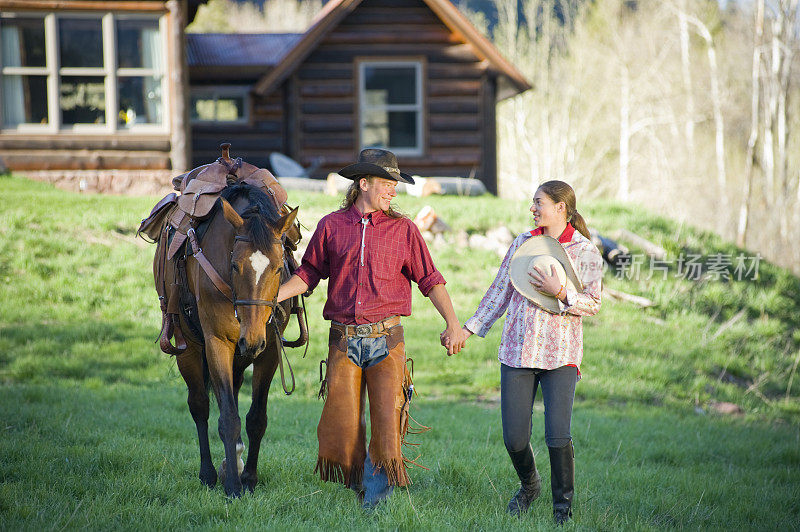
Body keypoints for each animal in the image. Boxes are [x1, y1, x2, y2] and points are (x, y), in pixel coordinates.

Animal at [173, 184, 300, 498]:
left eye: (278, 267)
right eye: (234, 264)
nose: (251, 339)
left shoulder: (269, 351)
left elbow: (256, 419)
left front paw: (249, 478)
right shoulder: (217, 343)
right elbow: (228, 418)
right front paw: (232, 485)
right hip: (189, 351)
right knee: (200, 405)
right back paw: (208, 473)